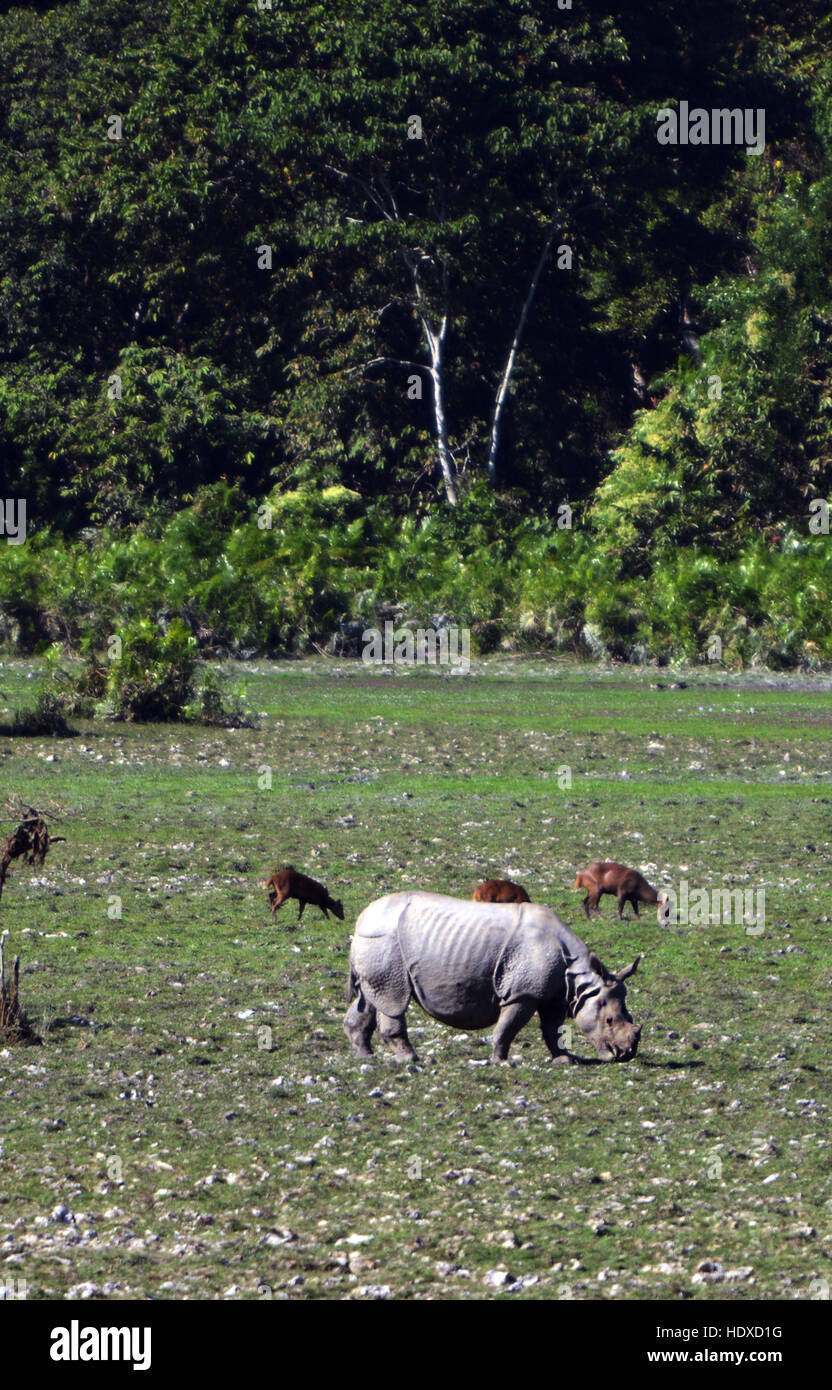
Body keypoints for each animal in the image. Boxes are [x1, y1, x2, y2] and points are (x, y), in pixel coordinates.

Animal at [344, 892, 642, 1064]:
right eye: (609, 1020)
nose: (626, 1055)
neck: (580, 979)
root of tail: (360, 919)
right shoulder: (523, 993)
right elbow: (507, 1027)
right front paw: (501, 1062)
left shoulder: (554, 994)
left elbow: (553, 1029)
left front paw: (564, 1059)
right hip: (385, 941)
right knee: (393, 999)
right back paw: (411, 1060)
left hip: (374, 943)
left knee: (369, 998)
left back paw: (364, 1057)